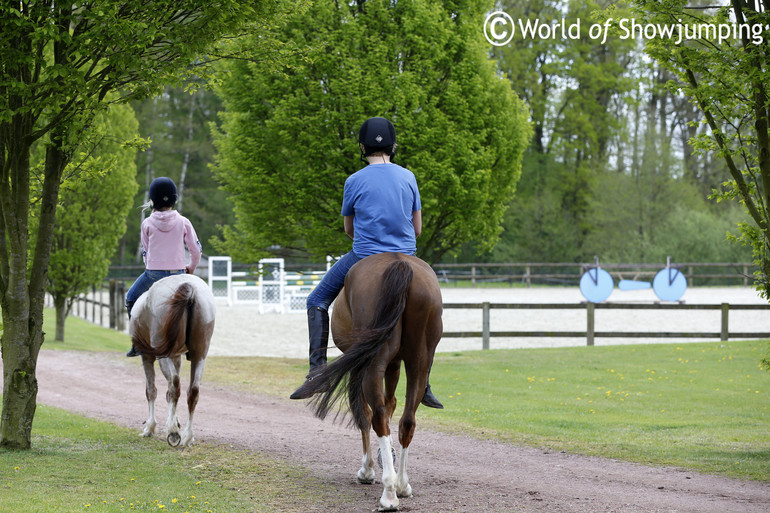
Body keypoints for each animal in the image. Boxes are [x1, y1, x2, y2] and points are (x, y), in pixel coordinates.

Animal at [127, 274, 214, 446]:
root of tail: (190, 288)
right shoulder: (176, 357)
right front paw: (175, 421)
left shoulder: (147, 357)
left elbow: (151, 391)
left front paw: (150, 428)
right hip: (199, 356)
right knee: (192, 392)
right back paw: (187, 436)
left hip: (163, 356)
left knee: (174, 386)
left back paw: (173, 433)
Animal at [292, 253, 440, 512]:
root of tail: (399, 262)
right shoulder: (394, 364)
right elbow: (391, 404)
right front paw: (386, 455)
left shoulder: (358, 367)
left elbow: (363, 413)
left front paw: (368, 469)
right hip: (419, 360)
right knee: (407, 420)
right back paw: (402, 485)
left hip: (372, 363)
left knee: (376, 416)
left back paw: (389, 493)